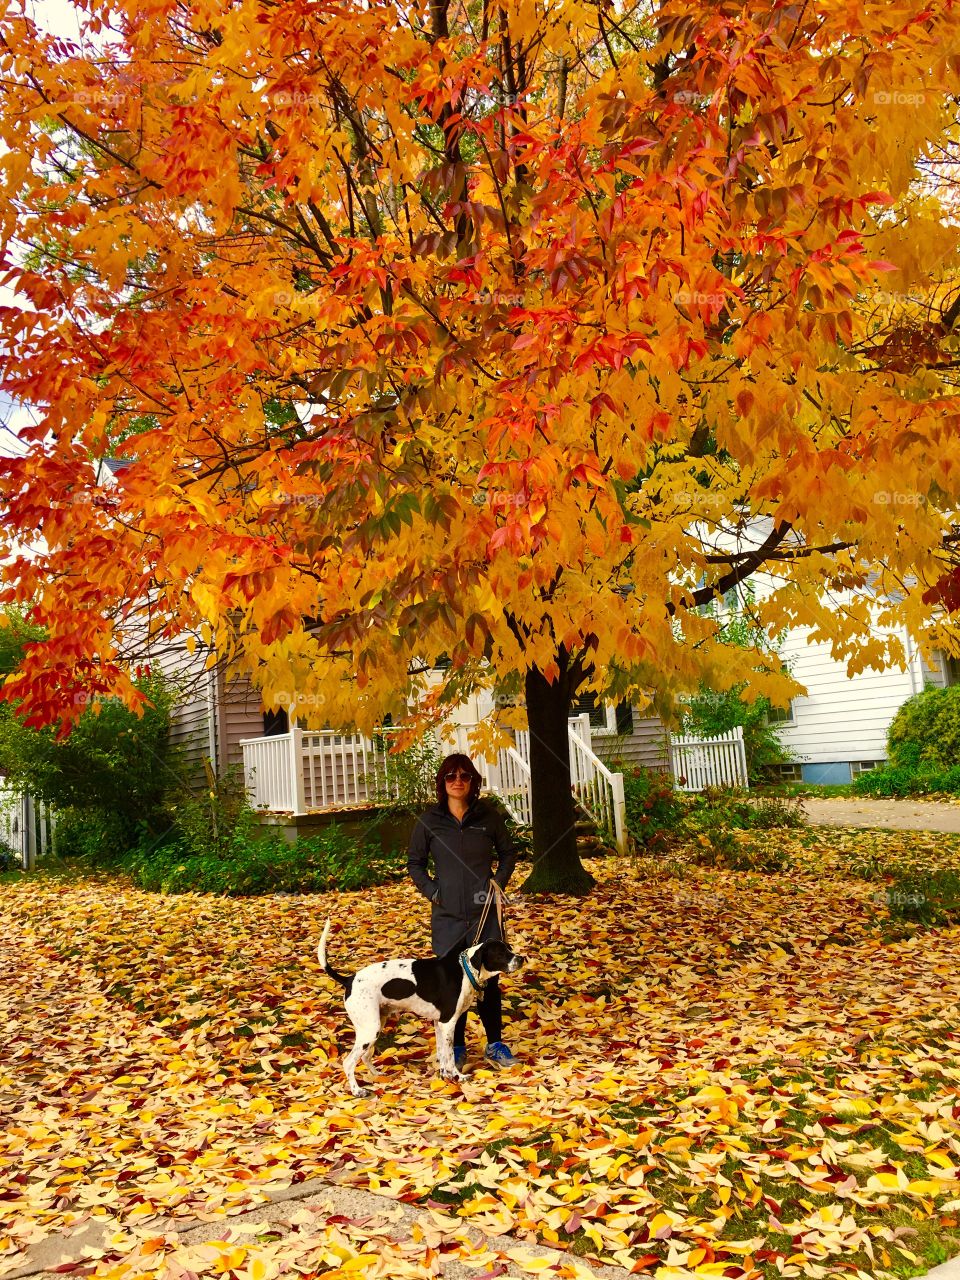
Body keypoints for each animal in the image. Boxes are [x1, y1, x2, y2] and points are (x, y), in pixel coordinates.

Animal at [317, 916, 527, 1095]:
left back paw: (378, 1076)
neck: (465, 970)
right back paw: (357, 1090)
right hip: (370, 1029)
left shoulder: (439, 1024)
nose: (521, 958)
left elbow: (442, 1054)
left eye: (509, 948)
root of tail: (349, 980)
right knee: (349, 1062)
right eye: (501, 953)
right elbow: (450, 1055)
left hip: (375, 1025)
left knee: (365, 1057)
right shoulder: (448, 1023)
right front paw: (458, 1076)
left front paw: (445, 1076)